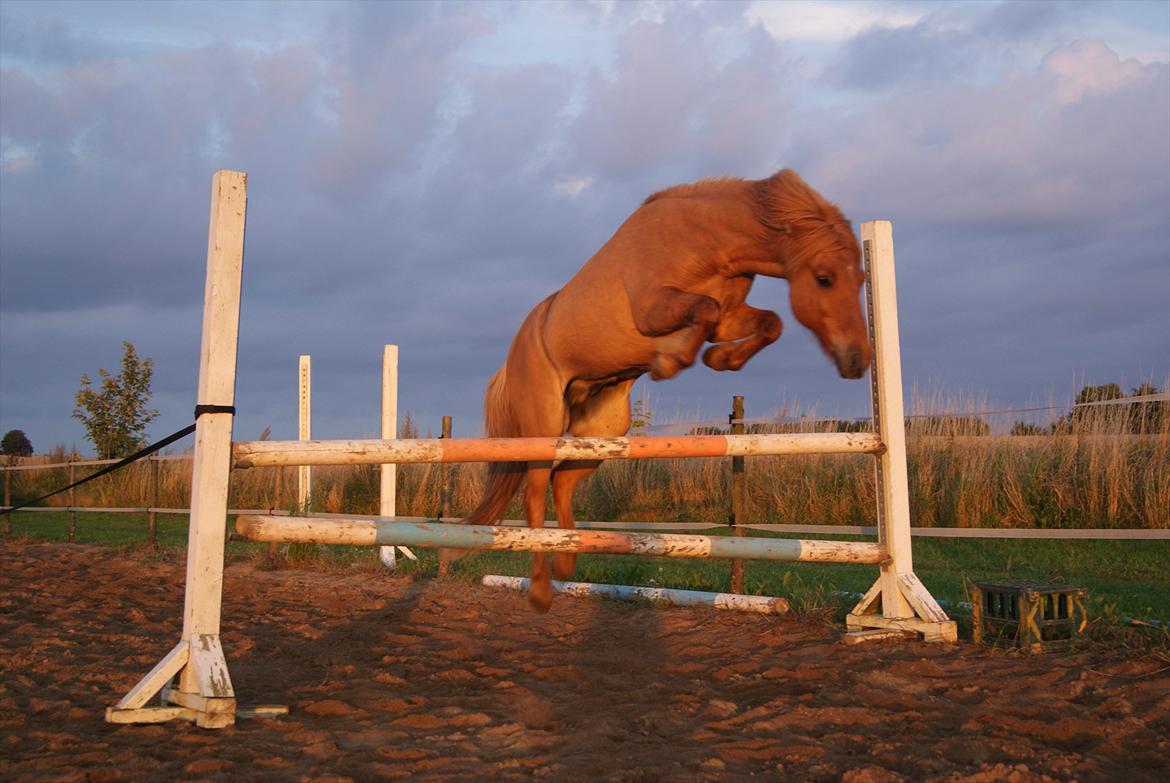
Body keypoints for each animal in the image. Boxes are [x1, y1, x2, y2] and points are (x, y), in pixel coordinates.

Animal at [442, 169, 875, 608]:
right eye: (824, 278)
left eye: (861, 279)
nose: (858, 361)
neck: (705, 241)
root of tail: (512, 358)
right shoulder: (655, 309)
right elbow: (705, 310)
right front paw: (671, 359)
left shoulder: (729, 318)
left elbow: (767, 321)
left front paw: (719, 359)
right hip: (544, 427)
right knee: (534, 494)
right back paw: (542, 592)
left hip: (601, 434)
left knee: (561, 482)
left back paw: (567, 561)